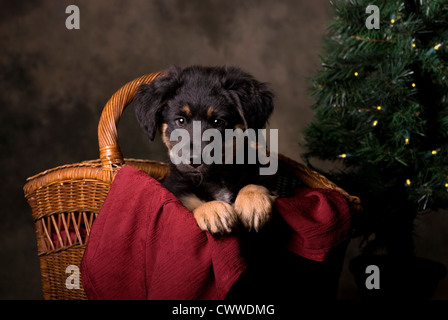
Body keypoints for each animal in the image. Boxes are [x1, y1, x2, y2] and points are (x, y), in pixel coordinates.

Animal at [133, 65, 274, 235]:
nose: (194, 160)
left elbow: (255, 183)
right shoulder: (177, 190)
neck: (215, 177)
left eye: (217, 122)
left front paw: (253, 203)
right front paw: (213, 210)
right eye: (180, 121)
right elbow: (192, 202)